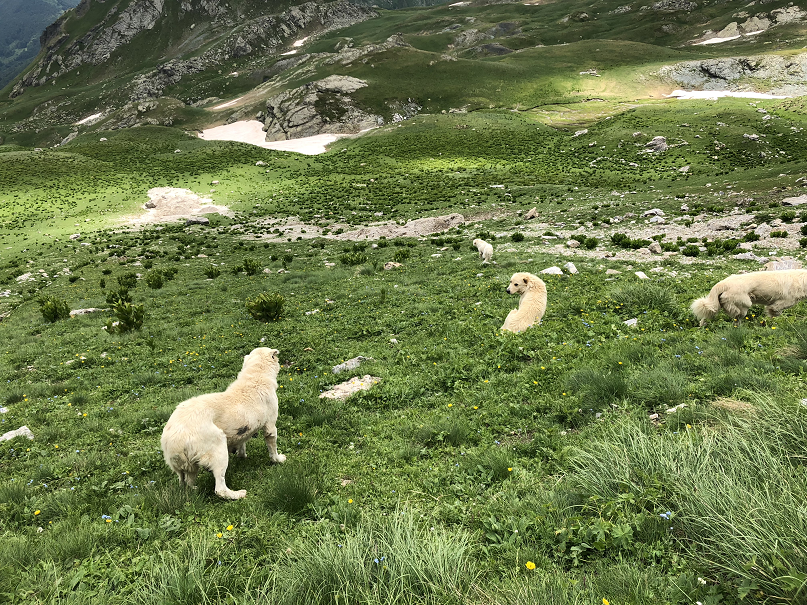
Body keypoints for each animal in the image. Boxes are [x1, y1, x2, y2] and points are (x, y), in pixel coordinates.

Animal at [161, 347, 285, 499]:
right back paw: (238, 494)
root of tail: (172, 440)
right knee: (220, 489)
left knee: (187, 483)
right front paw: (278, 459)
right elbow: (272, 449)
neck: (256, 377)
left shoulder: (242, 429)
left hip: (187, 468)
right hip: (218, 448)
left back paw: (195, 489)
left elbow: (242, 444)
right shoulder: (270, 427)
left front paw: (242, 456)